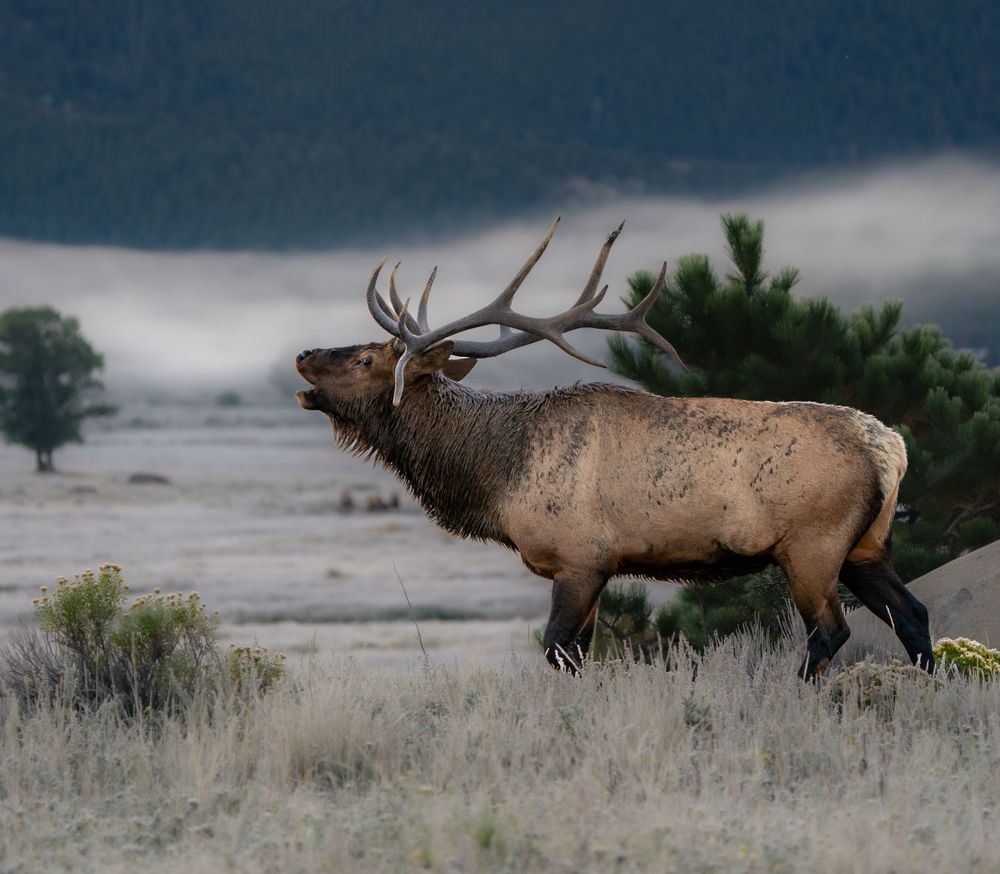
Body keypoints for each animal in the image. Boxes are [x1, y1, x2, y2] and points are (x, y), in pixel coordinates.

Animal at [295, 219, 934, 679]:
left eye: (365, 359)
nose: (302, 353)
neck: (497, 475)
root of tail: (892, 448)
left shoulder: (579, 556)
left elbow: (559, 650)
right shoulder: (593, 568)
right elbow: (578, 653)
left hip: (812, 544)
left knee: (832, 630)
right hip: (866, 546)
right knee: (913, 614)